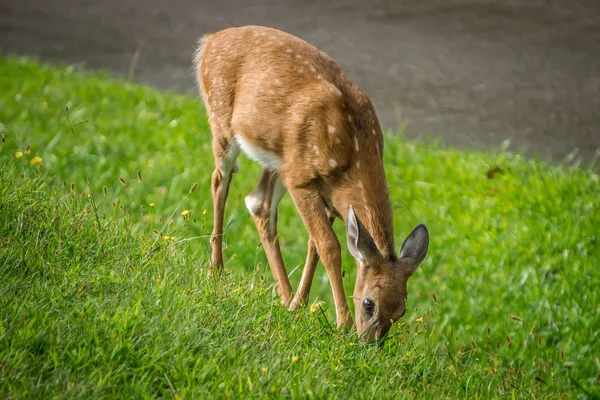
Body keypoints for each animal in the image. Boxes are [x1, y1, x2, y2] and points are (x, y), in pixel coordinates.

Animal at [192, 24, 426, 340]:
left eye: (401, 311)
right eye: (369, 304)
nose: (370, 344)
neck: (354, 153)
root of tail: (209, 41)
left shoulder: (327, 194)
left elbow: (314, 243)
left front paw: (298, 306)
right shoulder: (303, 182)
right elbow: (329, 246)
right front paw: (342, 323)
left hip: (281, 160)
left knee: (258, 202)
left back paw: (285, 296)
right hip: (223, 122)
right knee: (220, 181)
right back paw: (216, 270)